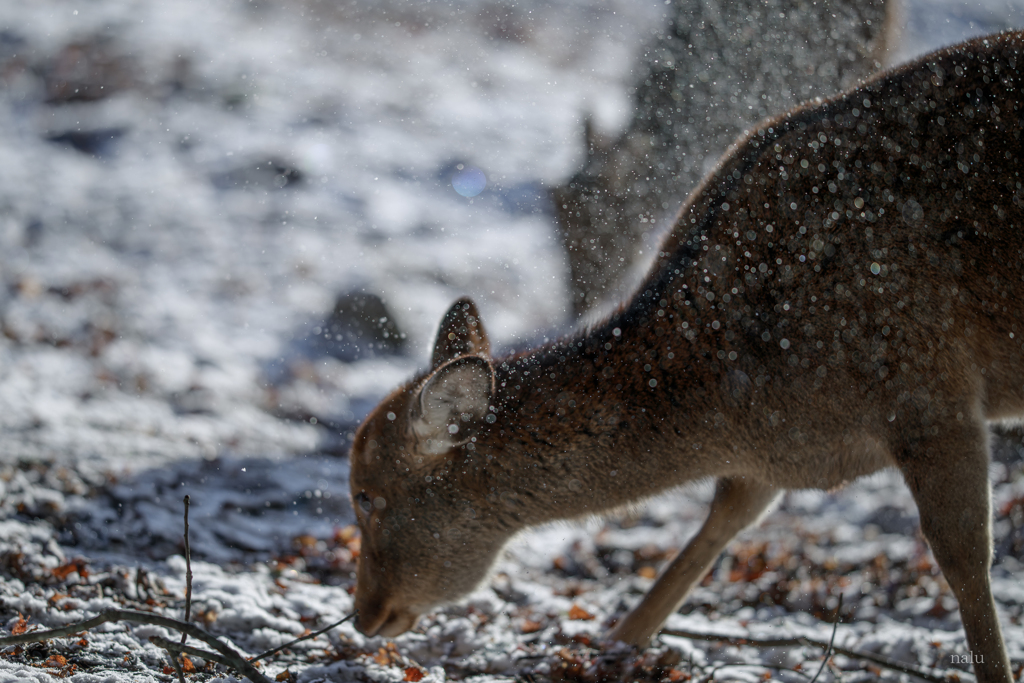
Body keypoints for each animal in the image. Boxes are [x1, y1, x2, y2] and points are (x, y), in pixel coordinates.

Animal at [350, 30, 1024, 679]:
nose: (362, 614)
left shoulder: (931, 391)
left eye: (366, 497)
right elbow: (719, 523)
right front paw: (612, 647)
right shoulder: (769, 461)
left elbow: (965, 556)